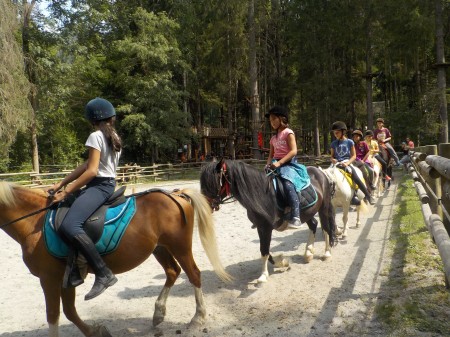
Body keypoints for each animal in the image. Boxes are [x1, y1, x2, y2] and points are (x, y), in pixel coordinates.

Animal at [0, 181, 230, 336]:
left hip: (179, 247)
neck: (34, 223)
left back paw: (198, 318)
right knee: (173, 272)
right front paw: (96, 331)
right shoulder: (65, 277)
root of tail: (177, 193)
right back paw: (158, 313)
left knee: (194, 274)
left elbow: (53, 315)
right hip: (160, 248)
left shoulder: (49, 278)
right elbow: (69, 311)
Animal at [200, 159, 338, 282]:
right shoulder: (260, 227)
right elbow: (264, 249)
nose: (206, 206)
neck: (260, 194)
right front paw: (281, 262)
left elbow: (264, 249)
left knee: (326, 228)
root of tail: (320, 172)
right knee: (314, 224)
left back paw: (327, 253)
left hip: (323, 207)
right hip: (307, 213)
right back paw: (308, 253)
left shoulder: (266, 227)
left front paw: (263, 276)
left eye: (214, 182)